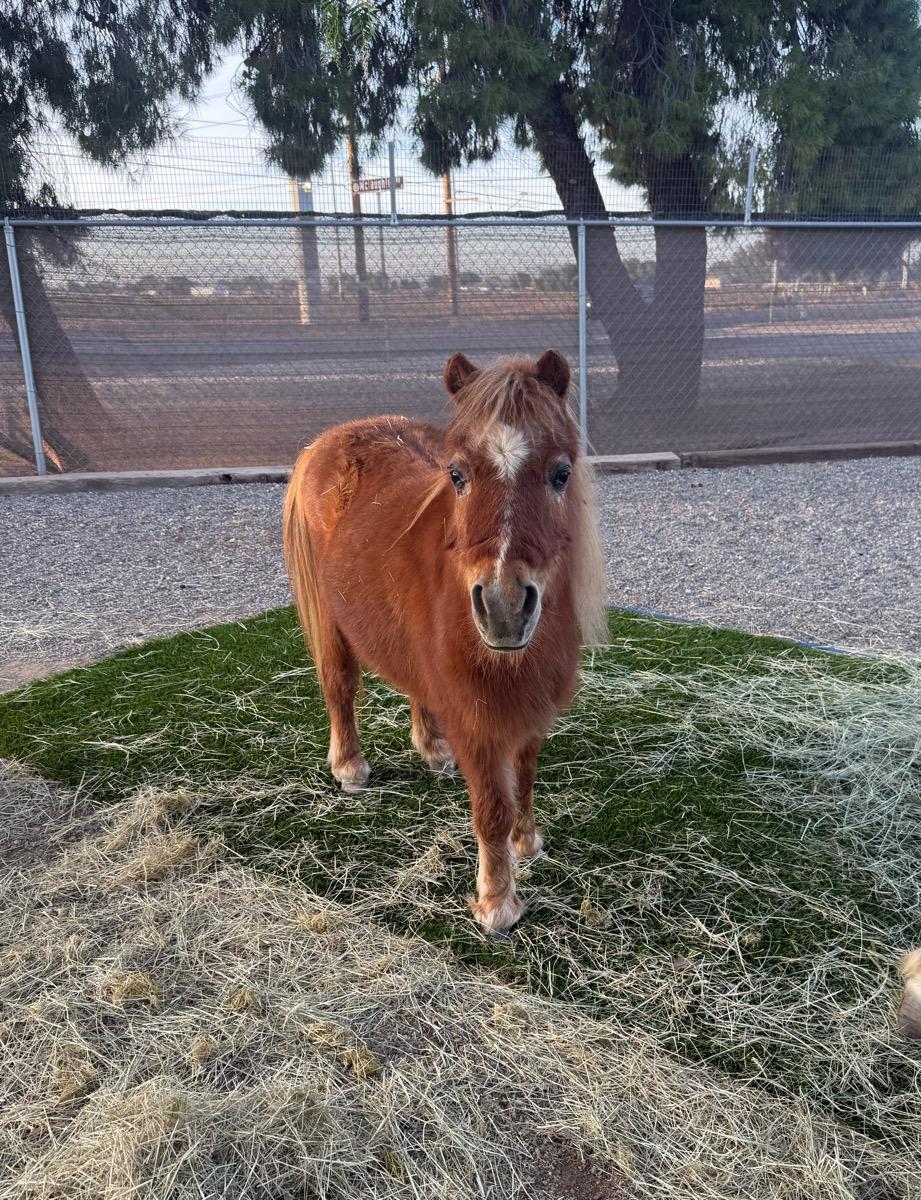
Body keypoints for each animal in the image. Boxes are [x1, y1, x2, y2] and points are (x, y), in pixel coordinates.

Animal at [283, 349, 606, 931]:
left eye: (561, 473)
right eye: (456, 474)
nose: (503, 608)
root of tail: (329, 440)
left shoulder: (531, 710)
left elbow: (524, 777)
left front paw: (528, 843)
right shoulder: (476, 719)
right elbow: (492, 808)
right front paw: (497, 903)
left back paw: (432, 751)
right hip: (330, 620)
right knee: (339, 686)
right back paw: (350, 768)